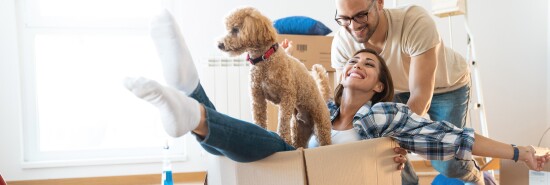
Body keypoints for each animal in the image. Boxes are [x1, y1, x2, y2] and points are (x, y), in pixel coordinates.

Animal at [219, 7, 332, 148]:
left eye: (235, 29)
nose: (219, 44)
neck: (264, 60)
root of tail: (323, 99)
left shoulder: (287, 96)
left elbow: (283, 120)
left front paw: (284, 138)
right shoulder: (257, 97)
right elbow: (259, 116)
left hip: (321, 126)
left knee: (325, 141)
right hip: (299, 129)